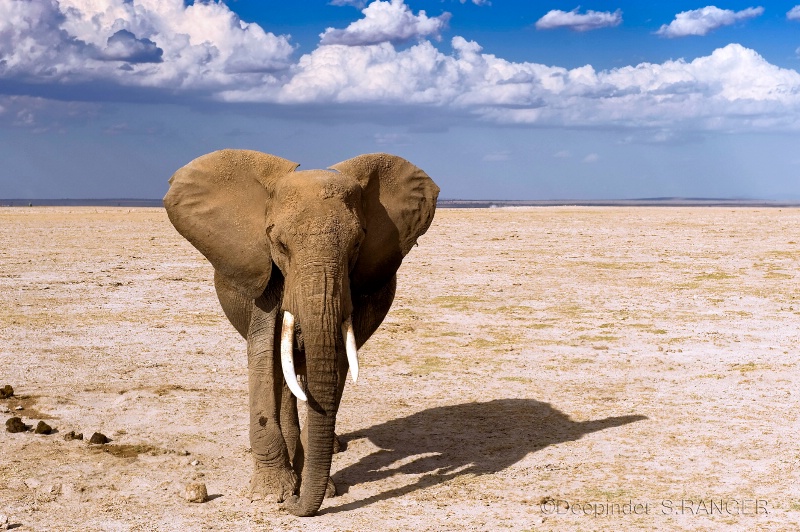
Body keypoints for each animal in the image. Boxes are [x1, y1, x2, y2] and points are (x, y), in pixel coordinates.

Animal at [162, 149, 438, 516]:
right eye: (279, 244)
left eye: (357, 244)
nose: (294, 504)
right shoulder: (265, 272)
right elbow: (263, 353)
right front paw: (272, 495)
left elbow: (337, 361)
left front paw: (320, 487)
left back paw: (330, 447)